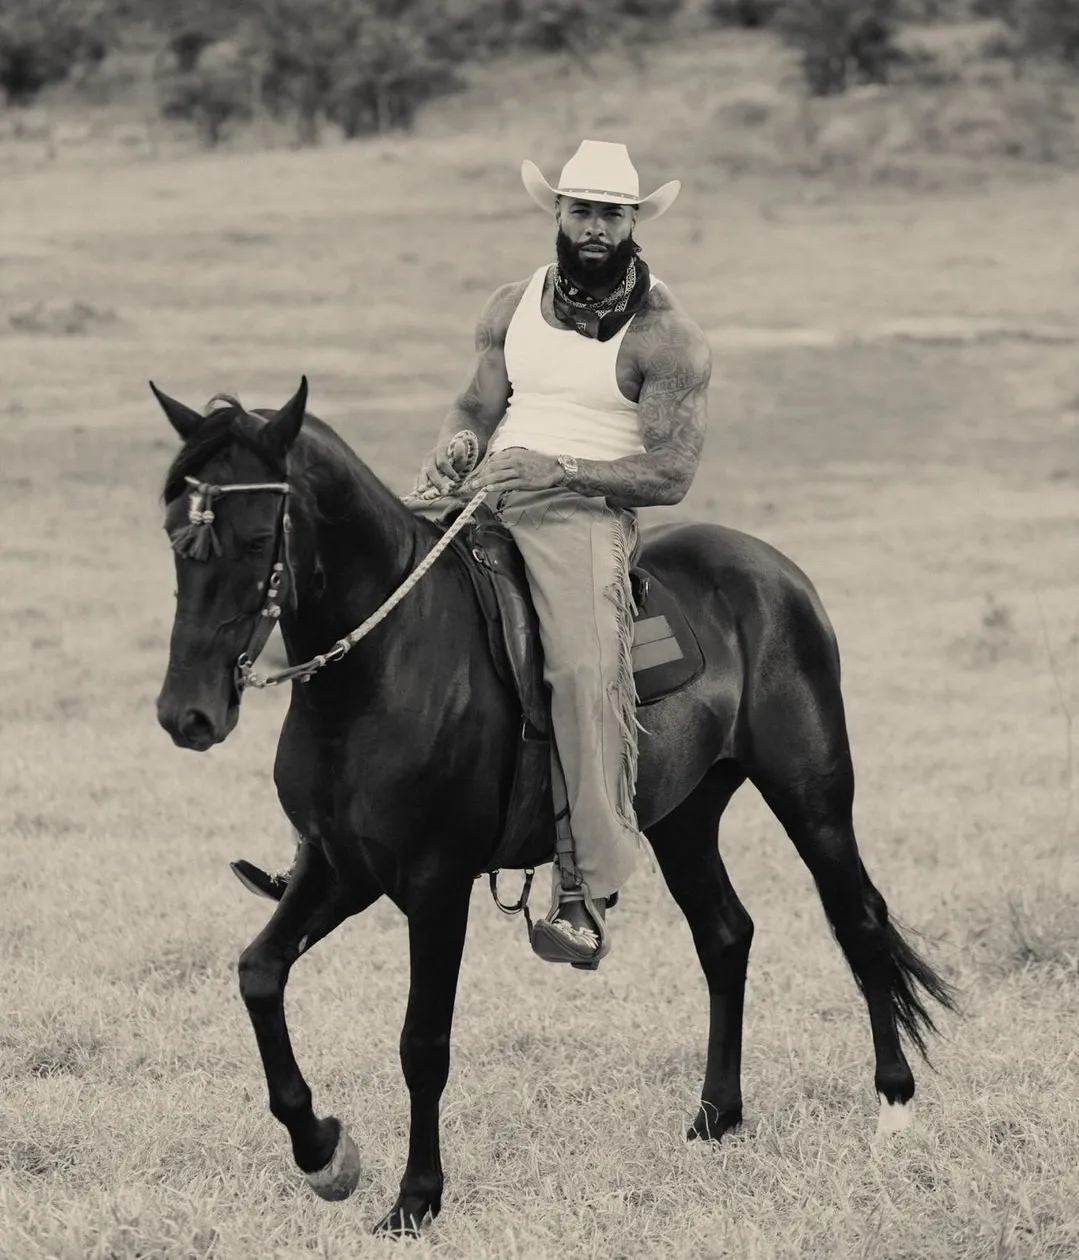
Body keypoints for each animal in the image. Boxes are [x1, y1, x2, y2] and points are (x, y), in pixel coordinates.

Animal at [149, 375, 952, 1239]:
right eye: (174, 535)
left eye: (256, 537)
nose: (187, 714)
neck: (384, 665)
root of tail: (770, 569)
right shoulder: (339, 868)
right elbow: (259, 974)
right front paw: (323, 1151)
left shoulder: (435, 886)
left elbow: (422, 1041)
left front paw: (416, 1197)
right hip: (682, 818)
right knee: (724, 935)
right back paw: (715, 1116)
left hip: (812, 797)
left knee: (857, 922)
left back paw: (894, 1113)